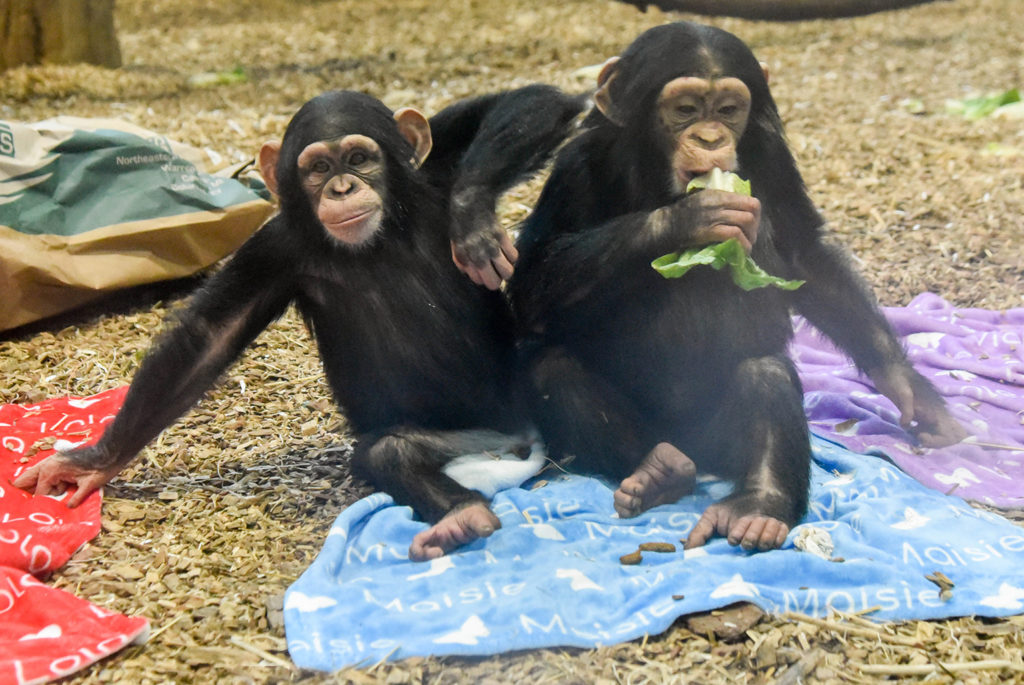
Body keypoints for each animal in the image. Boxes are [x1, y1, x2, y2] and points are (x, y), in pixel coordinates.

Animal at [16, 83, 585, 561]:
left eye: (359, 158)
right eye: (317, 168)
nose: (341, 187)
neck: (378, 242)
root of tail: (517, 442)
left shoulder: (435, 176)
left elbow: (535, 102)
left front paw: (472, 220)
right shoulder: (275, 248)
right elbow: (208, 338)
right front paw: (93, 460)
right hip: (470, 440)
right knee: (389, 452)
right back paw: (462, 517)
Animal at [507, 21, 962, 552]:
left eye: (727, 109)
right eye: (685, 109)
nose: (709, 137)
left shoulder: (772, 156)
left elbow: (804, 255)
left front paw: (905, 385)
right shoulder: (575, 168)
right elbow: (531, 280)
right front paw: (690, 218)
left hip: (720, 441)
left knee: (766, 375)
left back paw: (758, 506)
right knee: (552, 368)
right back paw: (656, 471)